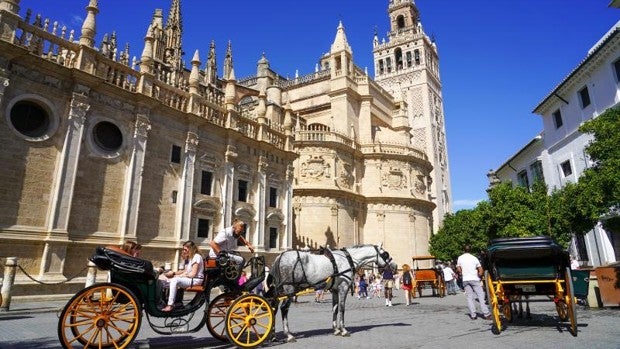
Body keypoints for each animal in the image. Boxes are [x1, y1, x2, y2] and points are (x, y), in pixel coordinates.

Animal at [266, 243, 398, 342]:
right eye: (386, 254)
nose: (395, 266)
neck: (348, 259)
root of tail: (279, 257)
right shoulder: (343, 287)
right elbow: (342, 308)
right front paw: (343, 330)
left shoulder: (334, 289)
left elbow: (335, 308)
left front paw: (336, 329)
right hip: (289, 289)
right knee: (283, 308)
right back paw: (288, 335)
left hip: (279, 289)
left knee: (273, 308)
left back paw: (272, 336)